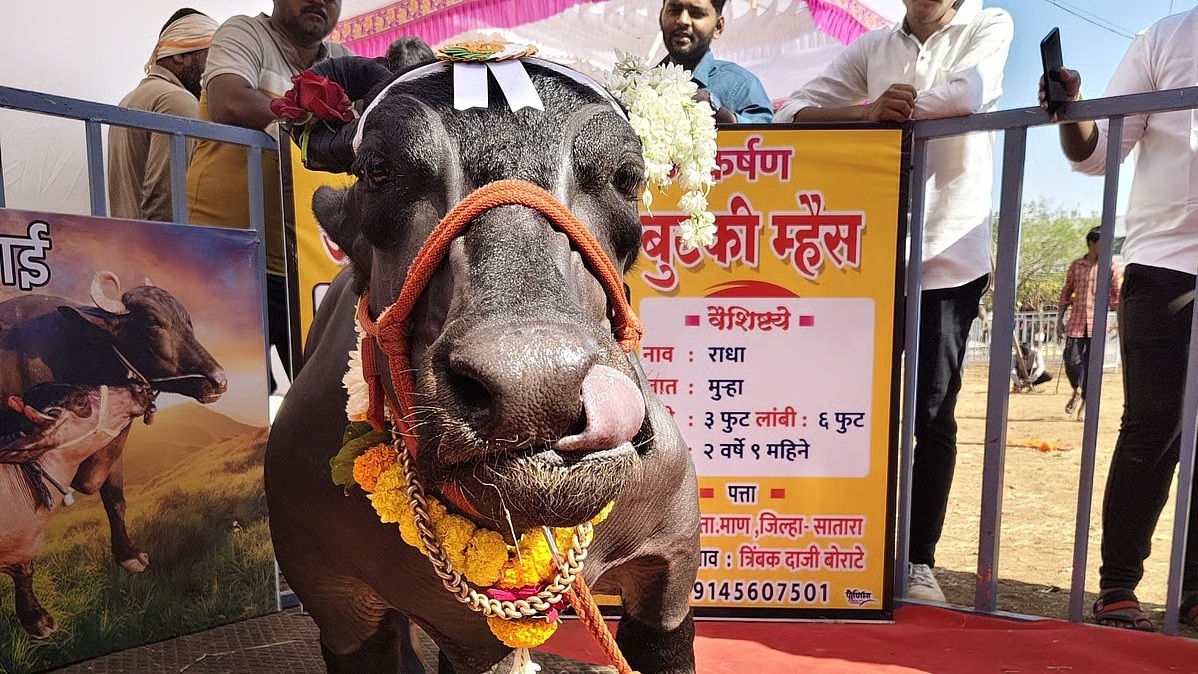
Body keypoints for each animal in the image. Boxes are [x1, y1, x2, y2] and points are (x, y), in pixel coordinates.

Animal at [0, 271, 227, 585]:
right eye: (152, 323)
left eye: (187, 320)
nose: (219, 381)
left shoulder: (112, 446)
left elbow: (116, 499)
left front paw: (128, 555)